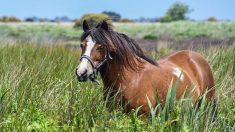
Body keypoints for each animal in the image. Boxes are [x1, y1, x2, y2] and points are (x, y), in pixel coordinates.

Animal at [75, 20, 215, 114]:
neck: (129, 79)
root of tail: (196, 57)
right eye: (82, 45)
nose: (81, 72)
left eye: (100, 47)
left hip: (207, 104)